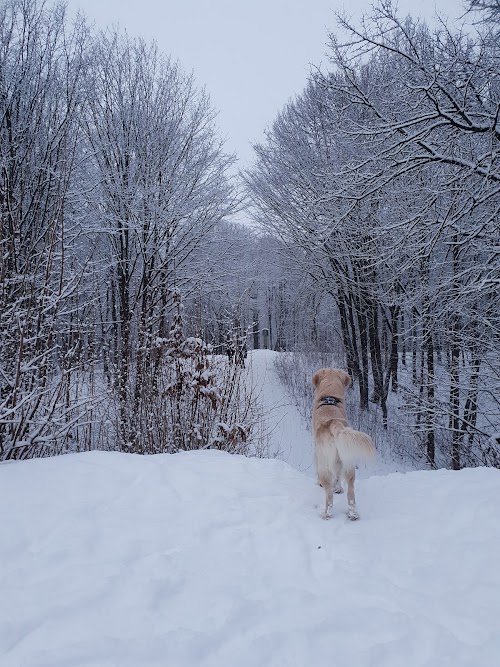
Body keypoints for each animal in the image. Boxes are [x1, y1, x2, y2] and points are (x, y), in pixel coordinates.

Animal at [312, 370, 376, 520]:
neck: (330, 400)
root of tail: (334, 422)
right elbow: (338, 478)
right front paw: (339, 488)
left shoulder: (317, 452)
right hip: (348, 462)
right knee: (350, 491)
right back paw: (353, 513)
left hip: (325, 464)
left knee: (329, 495)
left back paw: (327, 514)